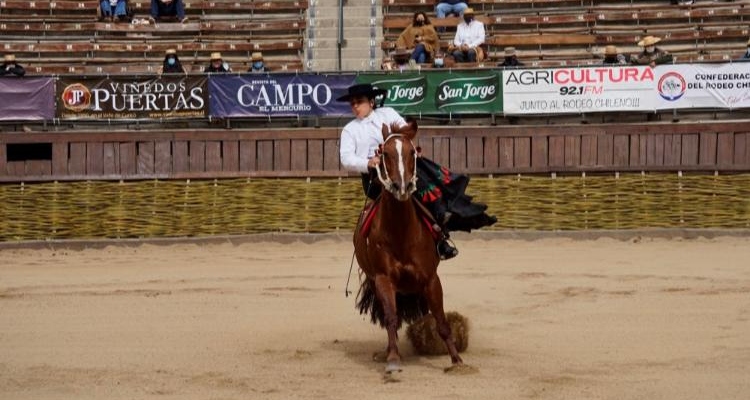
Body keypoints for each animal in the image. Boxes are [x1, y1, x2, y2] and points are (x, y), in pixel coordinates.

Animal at [352, 120, 464, 374]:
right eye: (384, 153)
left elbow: (441, 321)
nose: (400, 187)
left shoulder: (431, 279)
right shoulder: (384, 279)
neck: (401, 232)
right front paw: (393, 359)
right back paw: (387, 352)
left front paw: (457, 360)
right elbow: (391, 318)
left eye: (412, 152)